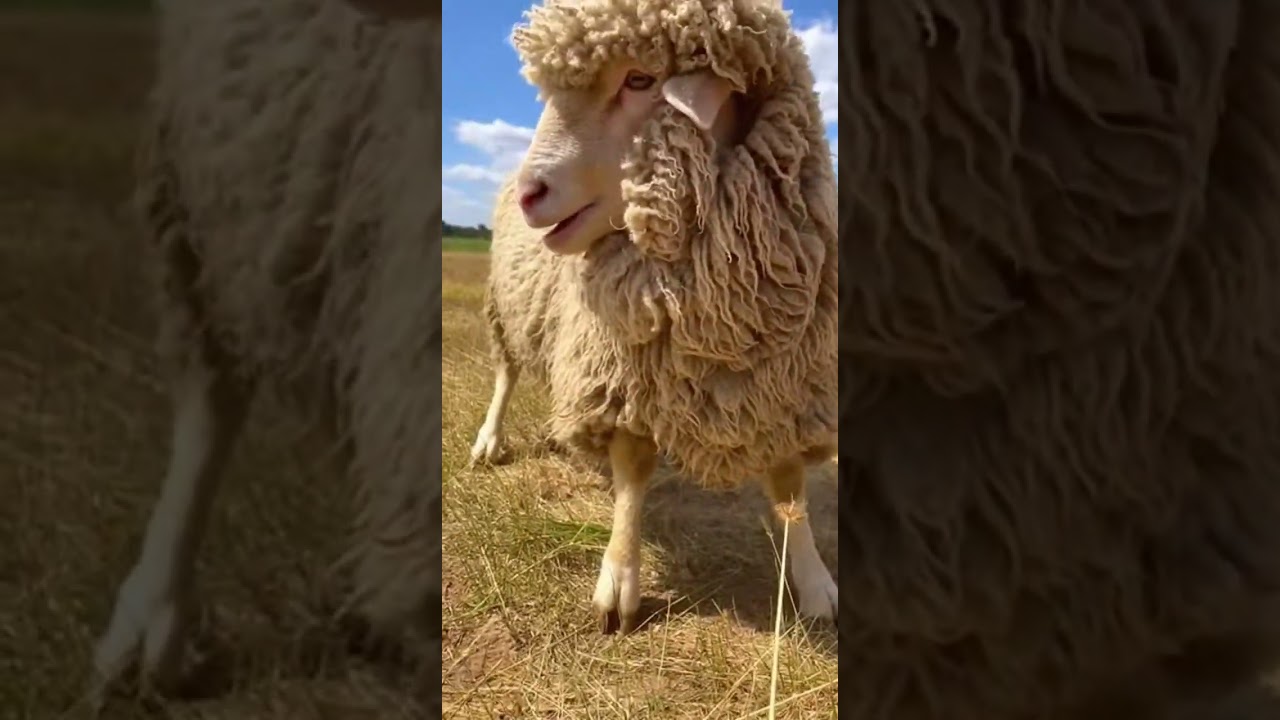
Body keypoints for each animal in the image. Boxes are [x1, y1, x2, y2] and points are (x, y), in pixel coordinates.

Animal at [469, 0, 839, 634]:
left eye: (639, 80)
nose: (529, 194)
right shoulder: (620, 377)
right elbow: (633, 476)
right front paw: (618, 582)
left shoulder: (788, 387)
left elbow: (791, 489)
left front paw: (814, 581)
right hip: (506, 307)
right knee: (507, 372)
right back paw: (489, 439)